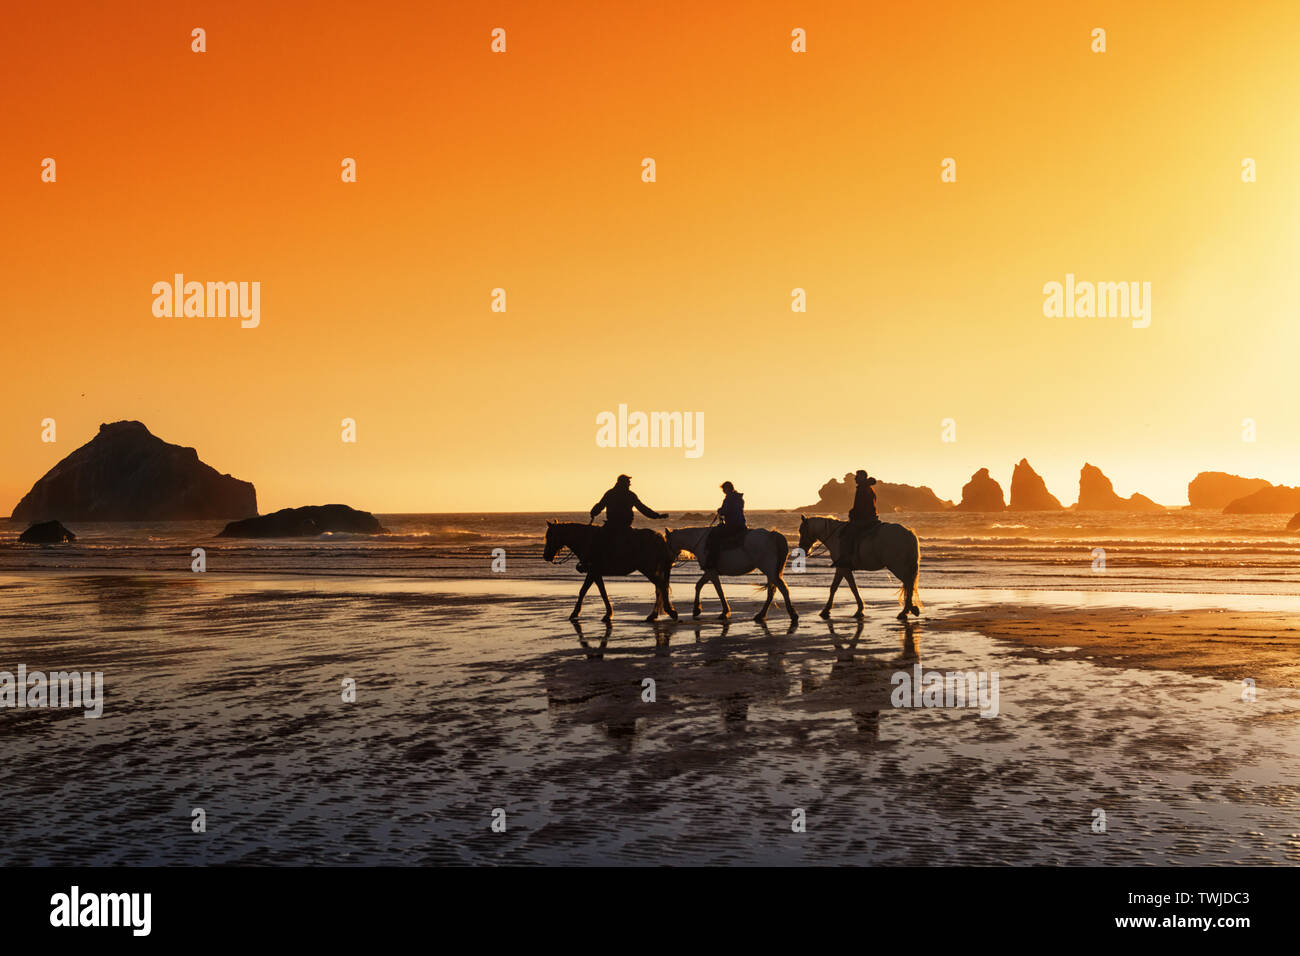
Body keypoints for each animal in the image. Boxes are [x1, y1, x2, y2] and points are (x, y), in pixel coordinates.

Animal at [543, 520, 681, 624]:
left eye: (549, 536)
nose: (546, 556)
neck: (587, 540)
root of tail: (659, 538)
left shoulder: (593, 572)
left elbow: (588, 591)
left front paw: (576, 612)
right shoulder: (595, 573)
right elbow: (598, 591)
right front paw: (607, 613)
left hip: (648, 569)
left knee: (661, 586)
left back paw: (669, 612)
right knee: (659, 588)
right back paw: (653, 615)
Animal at [665, 528, 795, 624]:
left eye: (666, 542)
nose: (669, 562)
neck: (700, 542)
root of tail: (772, 534)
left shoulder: (711, 572)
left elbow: (718, 590)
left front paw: (724, 612)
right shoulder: (709, 572)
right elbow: (699, 585)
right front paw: (697, 609)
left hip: (769, 570)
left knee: (782, 589)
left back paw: (792, 613)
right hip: (770, 572)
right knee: (772, 591)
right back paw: (761, 615)